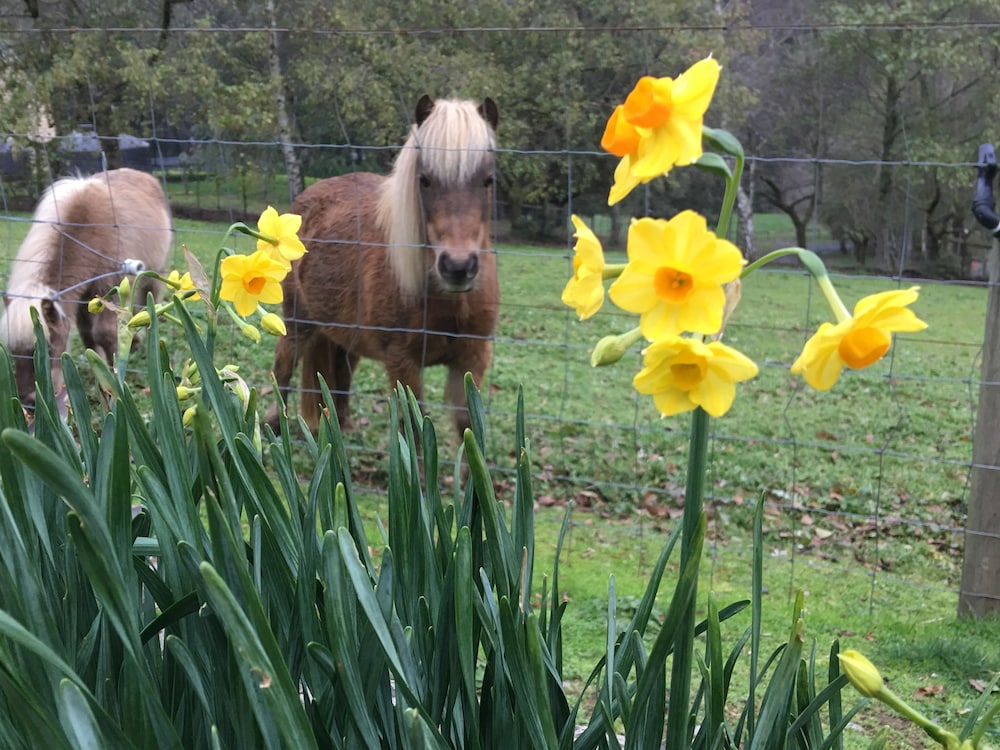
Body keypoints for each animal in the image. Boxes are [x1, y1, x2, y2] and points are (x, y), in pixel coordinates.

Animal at [0, 168, 173, 408]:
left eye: (48, 349)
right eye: (13, 351)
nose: (29, 402)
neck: (87, 225)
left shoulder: (111, 285)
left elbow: (104, 334)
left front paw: (114, 373)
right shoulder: (83, 297)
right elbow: (87, 334)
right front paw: (99, 370)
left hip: (153, 275)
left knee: (149, 301)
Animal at [268, 94, 500, 438]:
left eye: (488, 180)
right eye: (424, 180)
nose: (457, 267)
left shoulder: (472, 358)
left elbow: (468, 429)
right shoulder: (402, 362)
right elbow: (414, 432)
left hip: (343, 336)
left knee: (340, 376)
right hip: (298, 322)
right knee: (283, 367)